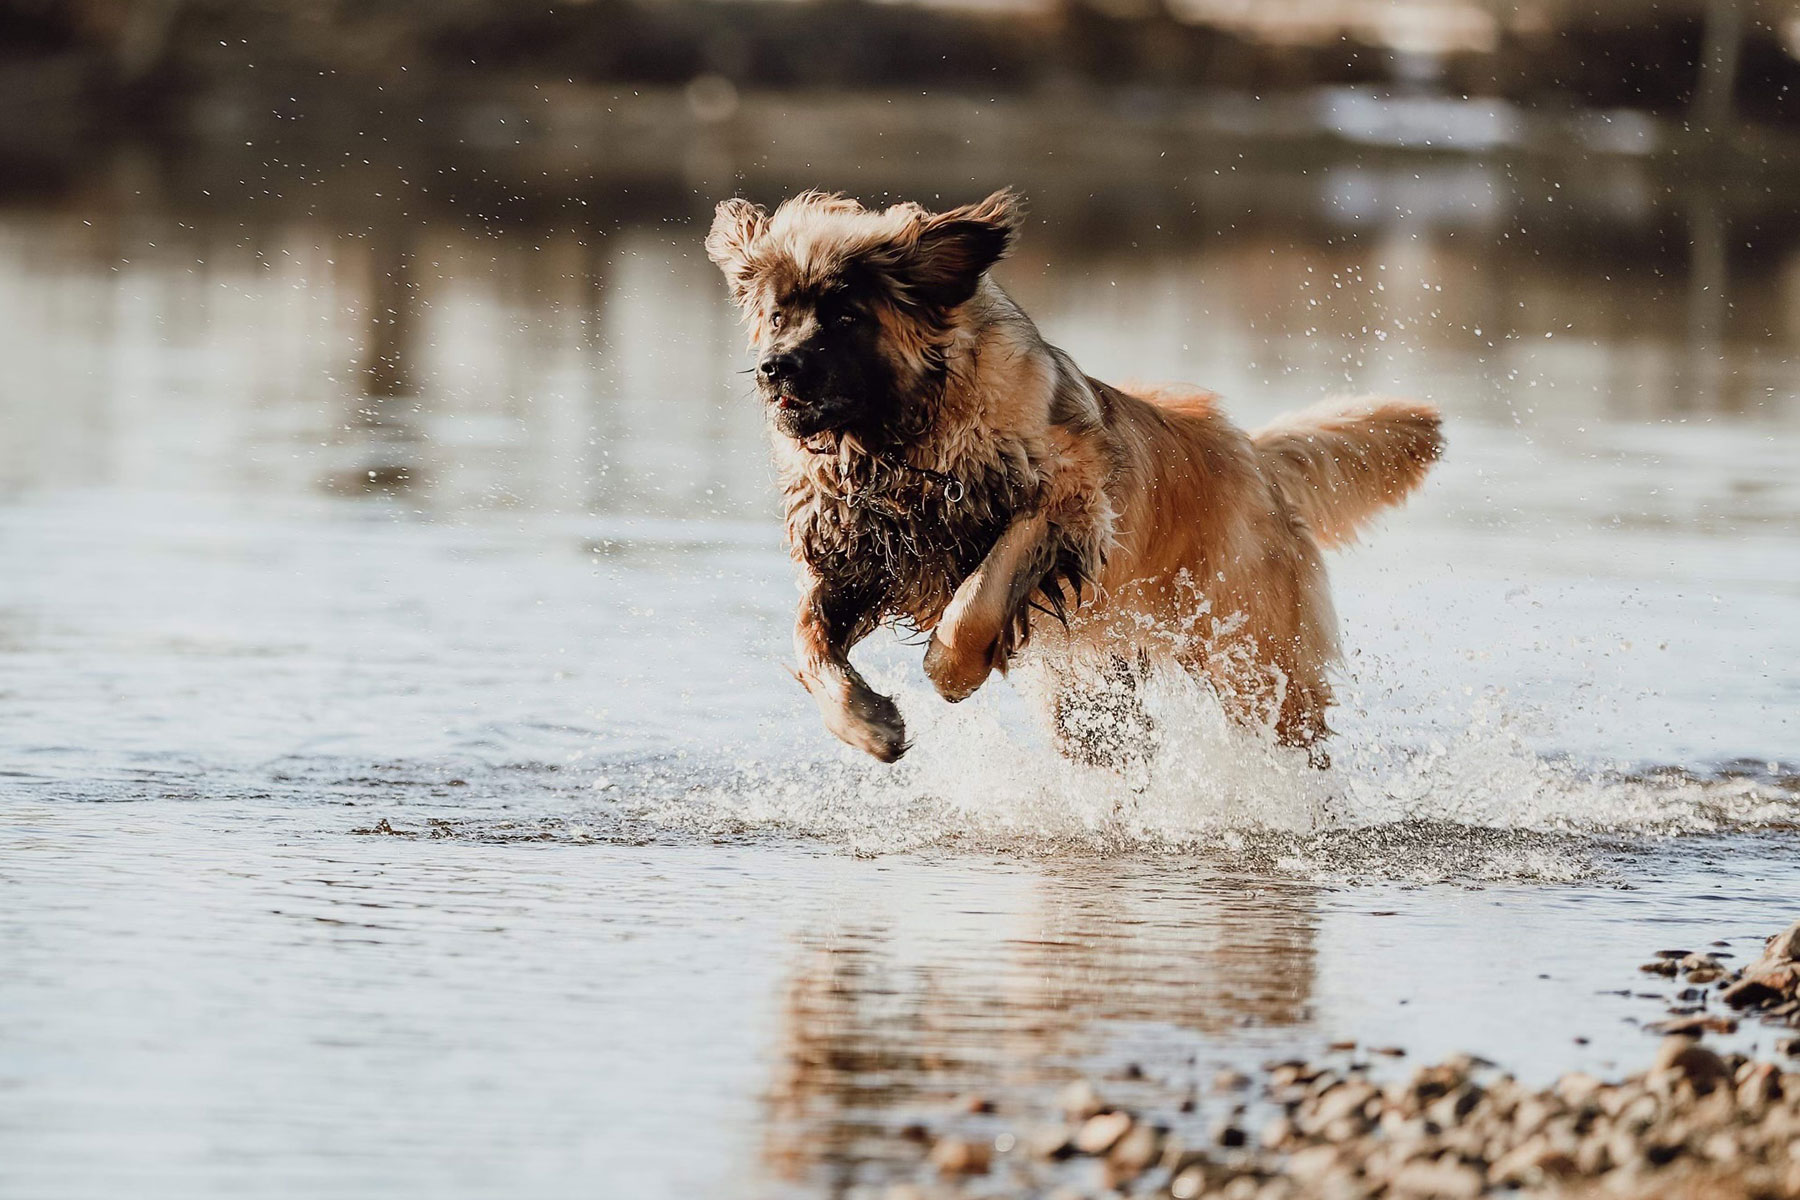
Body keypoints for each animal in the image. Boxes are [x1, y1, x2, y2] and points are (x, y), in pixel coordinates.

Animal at [705, 188, 1447, 770]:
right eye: (777, 315)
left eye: (845, 316)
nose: (773, 368)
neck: (906, 441)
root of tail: (1253, 456)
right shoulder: (854, 556)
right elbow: (809, 643)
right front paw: (868, 724)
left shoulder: (1066, 504)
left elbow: (978, 595)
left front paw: (953, 670)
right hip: (1099, 687)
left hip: (1252, 658)